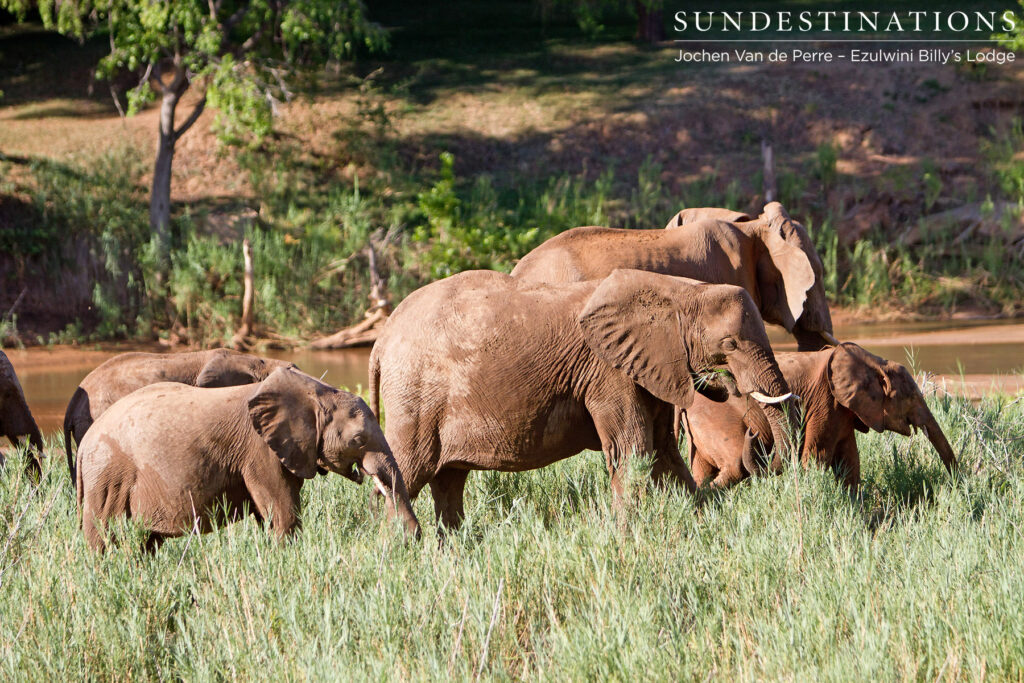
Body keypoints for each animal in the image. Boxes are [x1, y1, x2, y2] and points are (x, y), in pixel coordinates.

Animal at [77, 366, 420, 551]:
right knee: (104, 533)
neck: (316, 392)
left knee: (146, 541)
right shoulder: (259, 450)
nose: (411, 537)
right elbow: (282, 511)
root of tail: (82, 447)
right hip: (108, 475)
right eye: (358, 440)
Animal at [368, 268, 796, 532]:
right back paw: (397, 549)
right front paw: (629, 534)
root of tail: (380, 339)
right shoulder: (607, 370)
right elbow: (633, 448)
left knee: (448, 482)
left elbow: (663, 452)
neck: (677, 289)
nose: (728, 387)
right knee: (407, 473)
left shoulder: (648, 364)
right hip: (415, 397)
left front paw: (698, 521)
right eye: (730, 344)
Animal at [683, 343, 959, 490]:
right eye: (911, 396)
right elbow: (815, 458)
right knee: (734, 467)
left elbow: (849, 462)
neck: (872, 361)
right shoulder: (825, 400)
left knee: (704, 471)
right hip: (716, 414)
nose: (957, 484)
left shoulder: (844, 410)